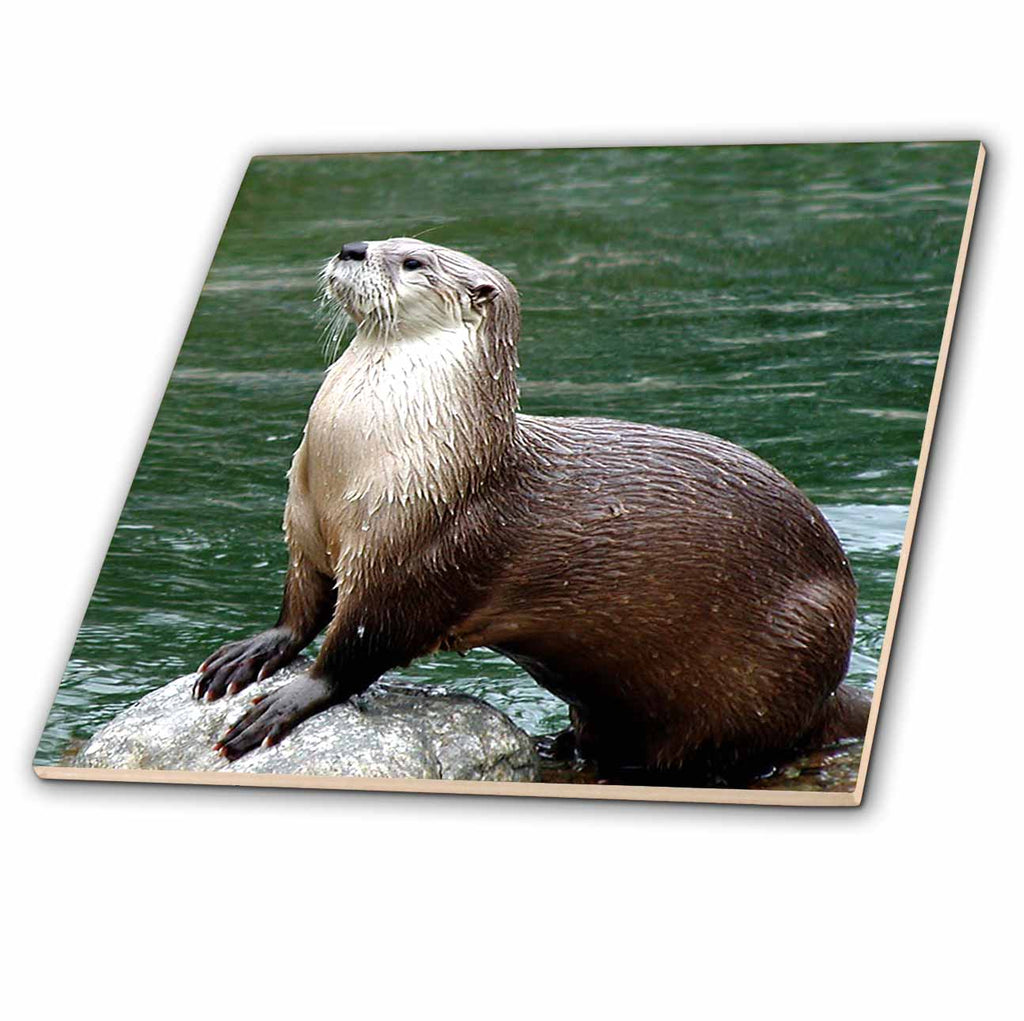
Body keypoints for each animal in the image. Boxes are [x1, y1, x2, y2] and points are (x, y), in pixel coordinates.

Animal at [193, 238, 868, 784]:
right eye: (382, 239)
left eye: (413, 261)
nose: (352, 248)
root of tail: (832, 689)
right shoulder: (306, 526)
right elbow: (301, 606)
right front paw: (251, 652)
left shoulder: (415, 556)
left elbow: (357, 646)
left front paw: (291, 700)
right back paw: (560, 743)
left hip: (780, 659)